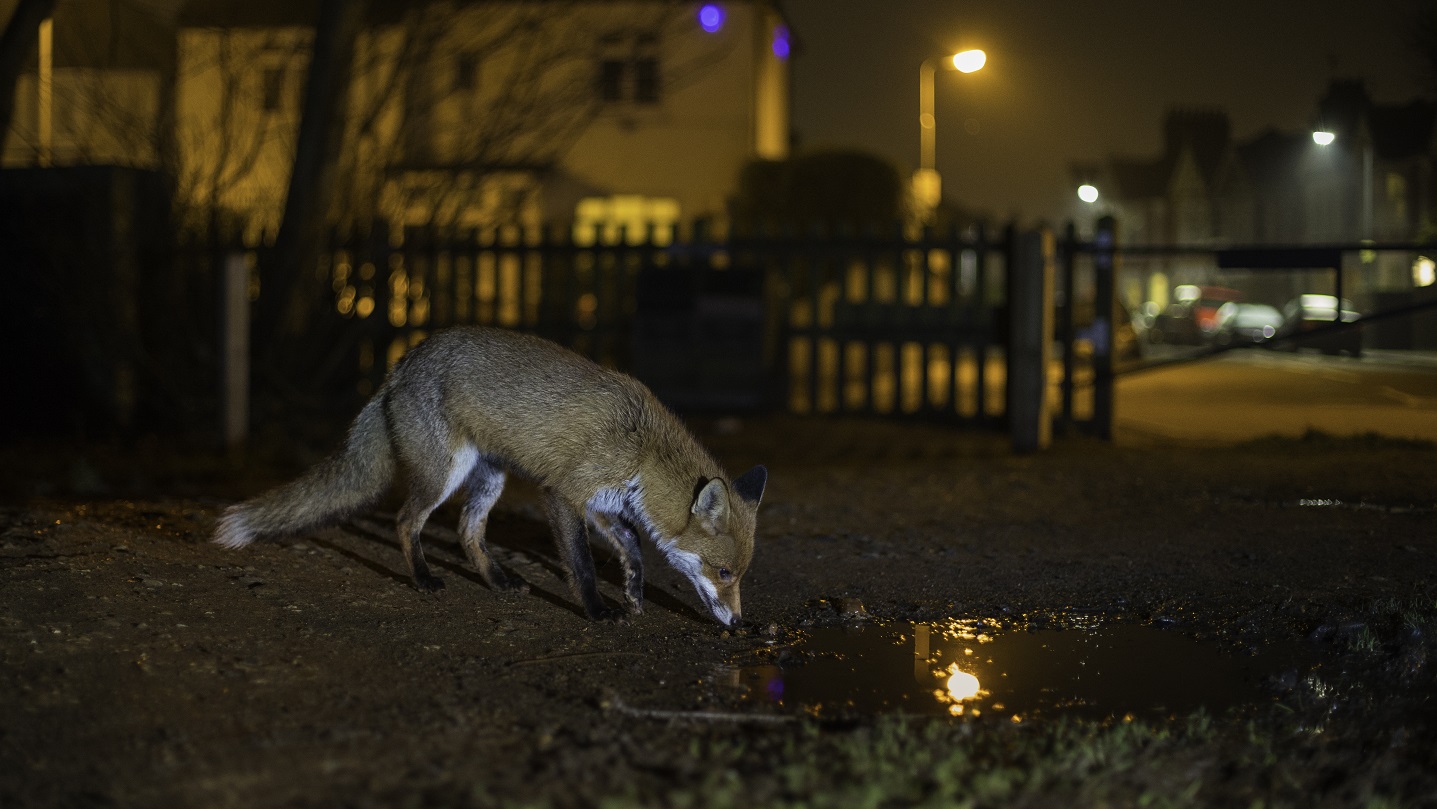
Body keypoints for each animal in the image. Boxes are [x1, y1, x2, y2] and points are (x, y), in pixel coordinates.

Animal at [211, 327, 764, 626]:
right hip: (444, 474)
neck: (643, 450)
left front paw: (633, 593)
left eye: (738, 575)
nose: (739, 623)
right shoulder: (563, 493)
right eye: (724, 573)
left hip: (489, 479)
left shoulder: (603, 502)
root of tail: (399, 365)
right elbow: (582, 564)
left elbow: (631, 543)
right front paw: (596, 609)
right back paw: (424, 578)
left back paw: (497, 580)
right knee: (406, 521)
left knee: (466, 530)